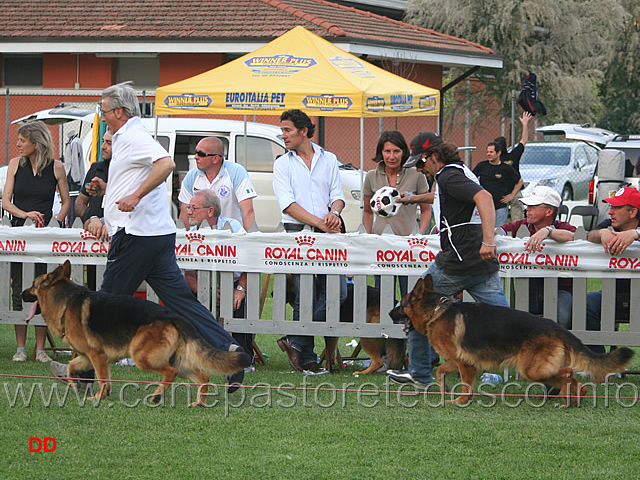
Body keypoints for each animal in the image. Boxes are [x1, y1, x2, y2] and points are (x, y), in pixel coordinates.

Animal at [20, 262, 250, 404]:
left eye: (32, 285)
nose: (21, 294)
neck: (66, 302)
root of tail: (174, 316)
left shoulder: (96, 355)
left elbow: (102, 378)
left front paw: (98, 397)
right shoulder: (86, 357)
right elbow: (70, 368)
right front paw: (78, 387)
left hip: (142, 357)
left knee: (170, 373)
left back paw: (157, 397)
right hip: (178, 361)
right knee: (203, 376)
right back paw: (198, 402)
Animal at [390, 276, 636, 406]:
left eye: (401, 304)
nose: (391, 314)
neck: (437, 312)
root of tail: (557, 328)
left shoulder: (464, 363)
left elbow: (466, 384)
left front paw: (460, 401)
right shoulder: (458, 360)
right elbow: (441, 370)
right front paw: (444, 389)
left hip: (531, 369)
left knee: (567, 373)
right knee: (573, 379)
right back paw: (572, 400)